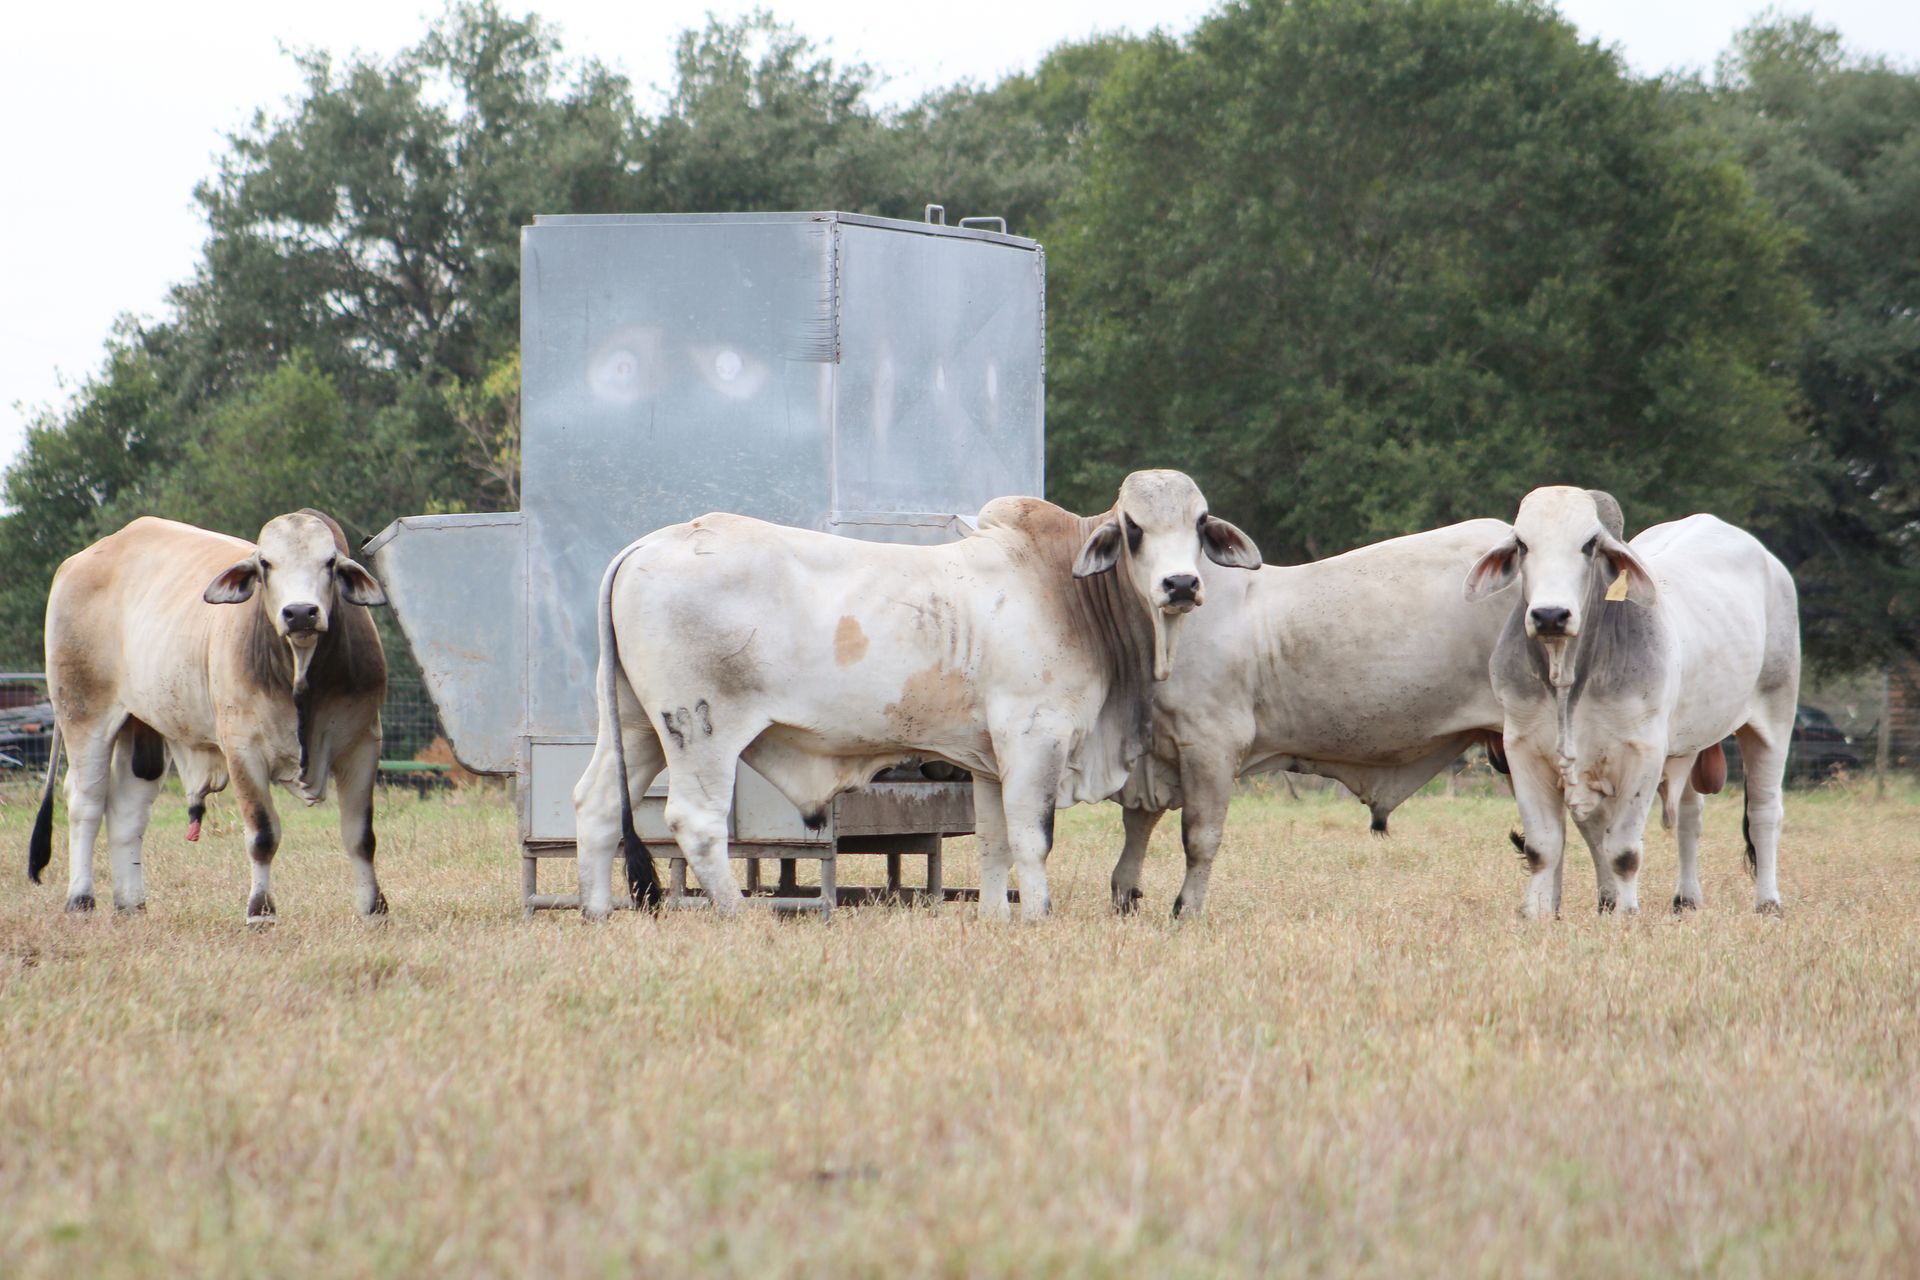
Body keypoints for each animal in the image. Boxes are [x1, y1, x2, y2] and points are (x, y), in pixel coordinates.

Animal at [27, 510, 390, 922]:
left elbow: (361, 836)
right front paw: (260, 912)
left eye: (329, 562)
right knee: (85, 801)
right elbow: (263, 834)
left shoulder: (363, 743)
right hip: (83, 714)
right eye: (265, 563)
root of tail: (75, 563)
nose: (300, 613)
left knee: (127, 809)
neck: (299, 673)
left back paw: (131, 904)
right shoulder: (243, 750)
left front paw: (374, 909)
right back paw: (80, 899)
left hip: (143, 728)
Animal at [570, 470, 1261, 922]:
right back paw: (738, 915)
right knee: (696, 821)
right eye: (1133, 528)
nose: (1181, 584)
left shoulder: (988, 759)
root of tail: (649, 543)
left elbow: (993, 841)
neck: (1067, 589)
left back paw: (596, 913)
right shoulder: (1034, 738)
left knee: (597, 804)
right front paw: (1038, 915)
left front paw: (995, 919)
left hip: (635, 725)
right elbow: (1032, 836)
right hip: (699, 730)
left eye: (1199, 523)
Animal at [1464, 486, 1800, 917]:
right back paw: (1686, 899)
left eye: (1589, 544)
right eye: (1522, 544)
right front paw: (1537, 915)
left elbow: (1622, 852)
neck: (1566, 672)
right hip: (1692, 739)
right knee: (1690, 816)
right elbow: (1543, 848)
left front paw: (1625, 915)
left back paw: (1768, 902)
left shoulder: (1643, 752)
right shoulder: (1523, 749)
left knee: (1764, 812)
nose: (1550, 615)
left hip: (1774, 715)